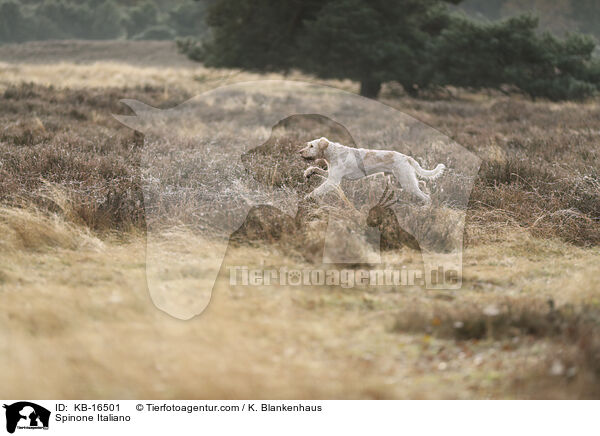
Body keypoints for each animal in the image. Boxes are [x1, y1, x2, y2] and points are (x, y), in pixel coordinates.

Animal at [300, 137, 446, 204]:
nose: (300, 152)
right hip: (401, 182)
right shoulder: (331, 176)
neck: (333, 153)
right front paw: (308, 172)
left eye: (311, 146)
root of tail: (406, 157)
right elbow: (316, 168)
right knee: (423, 183)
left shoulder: (333, 181)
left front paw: (306, 198)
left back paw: (425, 209)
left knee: (426, 196)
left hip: (406, 183)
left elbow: (316, 191)